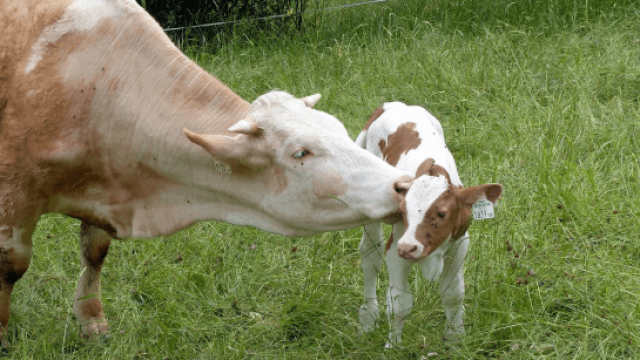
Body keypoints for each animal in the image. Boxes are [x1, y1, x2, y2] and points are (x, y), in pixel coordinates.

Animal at [0, 0, 412, 344]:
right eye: (300, 153)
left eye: (339, 129)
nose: (403, 184)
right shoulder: (14, 194)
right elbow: (12, 265)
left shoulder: (104, 194)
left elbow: (95, 252)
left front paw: (91, 321)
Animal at [358, 101, 502, 346]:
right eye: (402, 211)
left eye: (442, 213)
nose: (408, 248)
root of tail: (391, 105)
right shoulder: (396, 247)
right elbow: (399, 303)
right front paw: (393, 345)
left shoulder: (458, 244)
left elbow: (453, 295)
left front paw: (455, 339)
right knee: (370, 257)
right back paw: (368, 317)